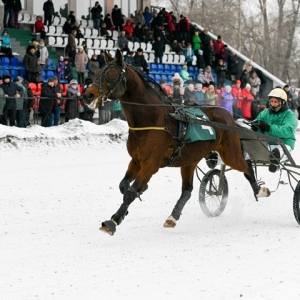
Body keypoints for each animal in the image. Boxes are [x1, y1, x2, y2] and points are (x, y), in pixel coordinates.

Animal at [82, 49, 270, 237]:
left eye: (111, 74)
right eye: (97, 73)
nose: (88, 95)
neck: (154, 119)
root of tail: (229, 116)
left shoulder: (151, 164)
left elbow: (130, 193)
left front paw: (112, 221)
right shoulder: (136, 160)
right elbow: (124, 186)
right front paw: (131, 202)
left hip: (230, 153)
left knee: (246, 166)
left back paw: (259, 190)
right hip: (189, 159)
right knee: (187, 190)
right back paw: (173, 217)